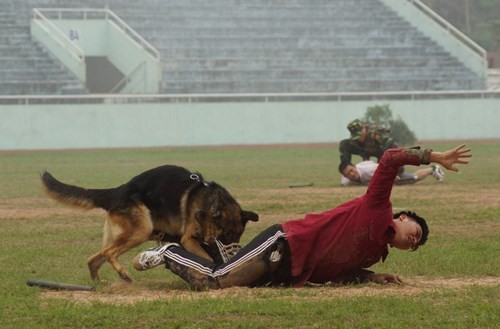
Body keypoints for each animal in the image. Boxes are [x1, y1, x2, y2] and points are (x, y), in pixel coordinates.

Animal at [41, 165, 258, 280]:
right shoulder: (188, 239)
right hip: (141, 230)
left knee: (94, 258)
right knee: (108, 252)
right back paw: (123, 274)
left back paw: (99, 284)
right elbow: (206, 258)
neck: (208, 204)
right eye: (226, 234)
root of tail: (116, 191)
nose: (234, 253)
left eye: (238, 235)